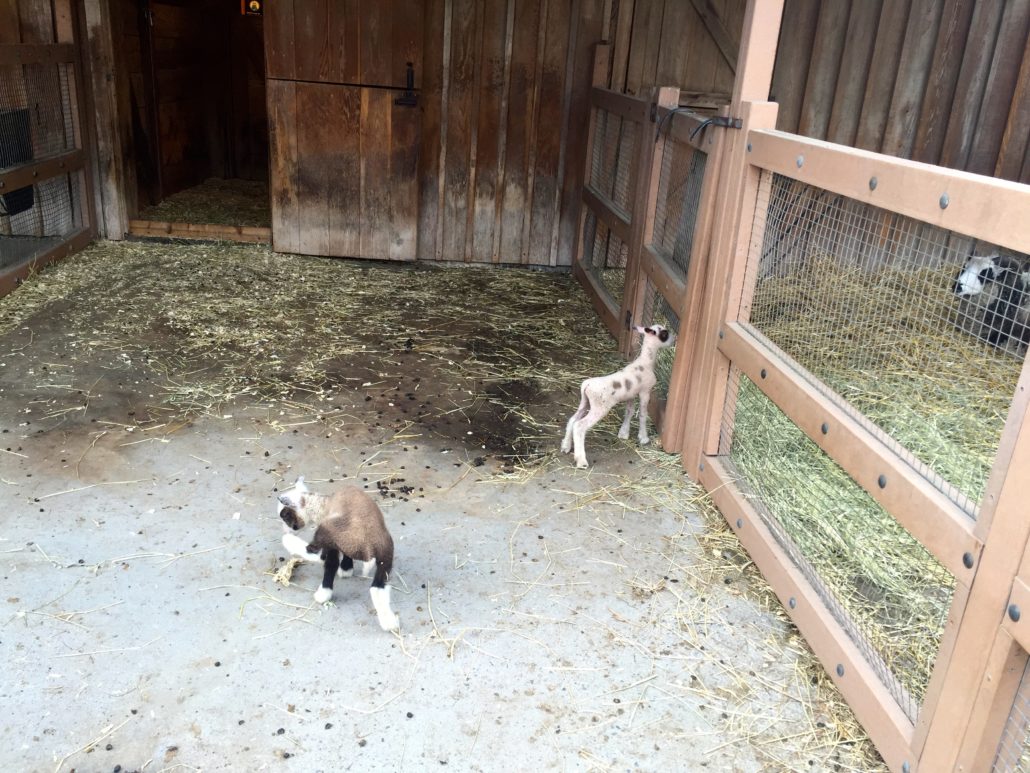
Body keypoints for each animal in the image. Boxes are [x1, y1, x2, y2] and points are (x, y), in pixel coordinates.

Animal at [276, 478, 399, 634]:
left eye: (285, 516)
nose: (285, 530)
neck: (322, 504)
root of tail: (368, 547)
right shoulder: (342, 545)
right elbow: (342, 558)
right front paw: (346, 568)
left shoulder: (332, 540)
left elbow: (330, 563)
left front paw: (326, 591)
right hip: (386, 555)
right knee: (378, 588)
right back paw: (390, 623)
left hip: (329, 534)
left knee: (318, 555)